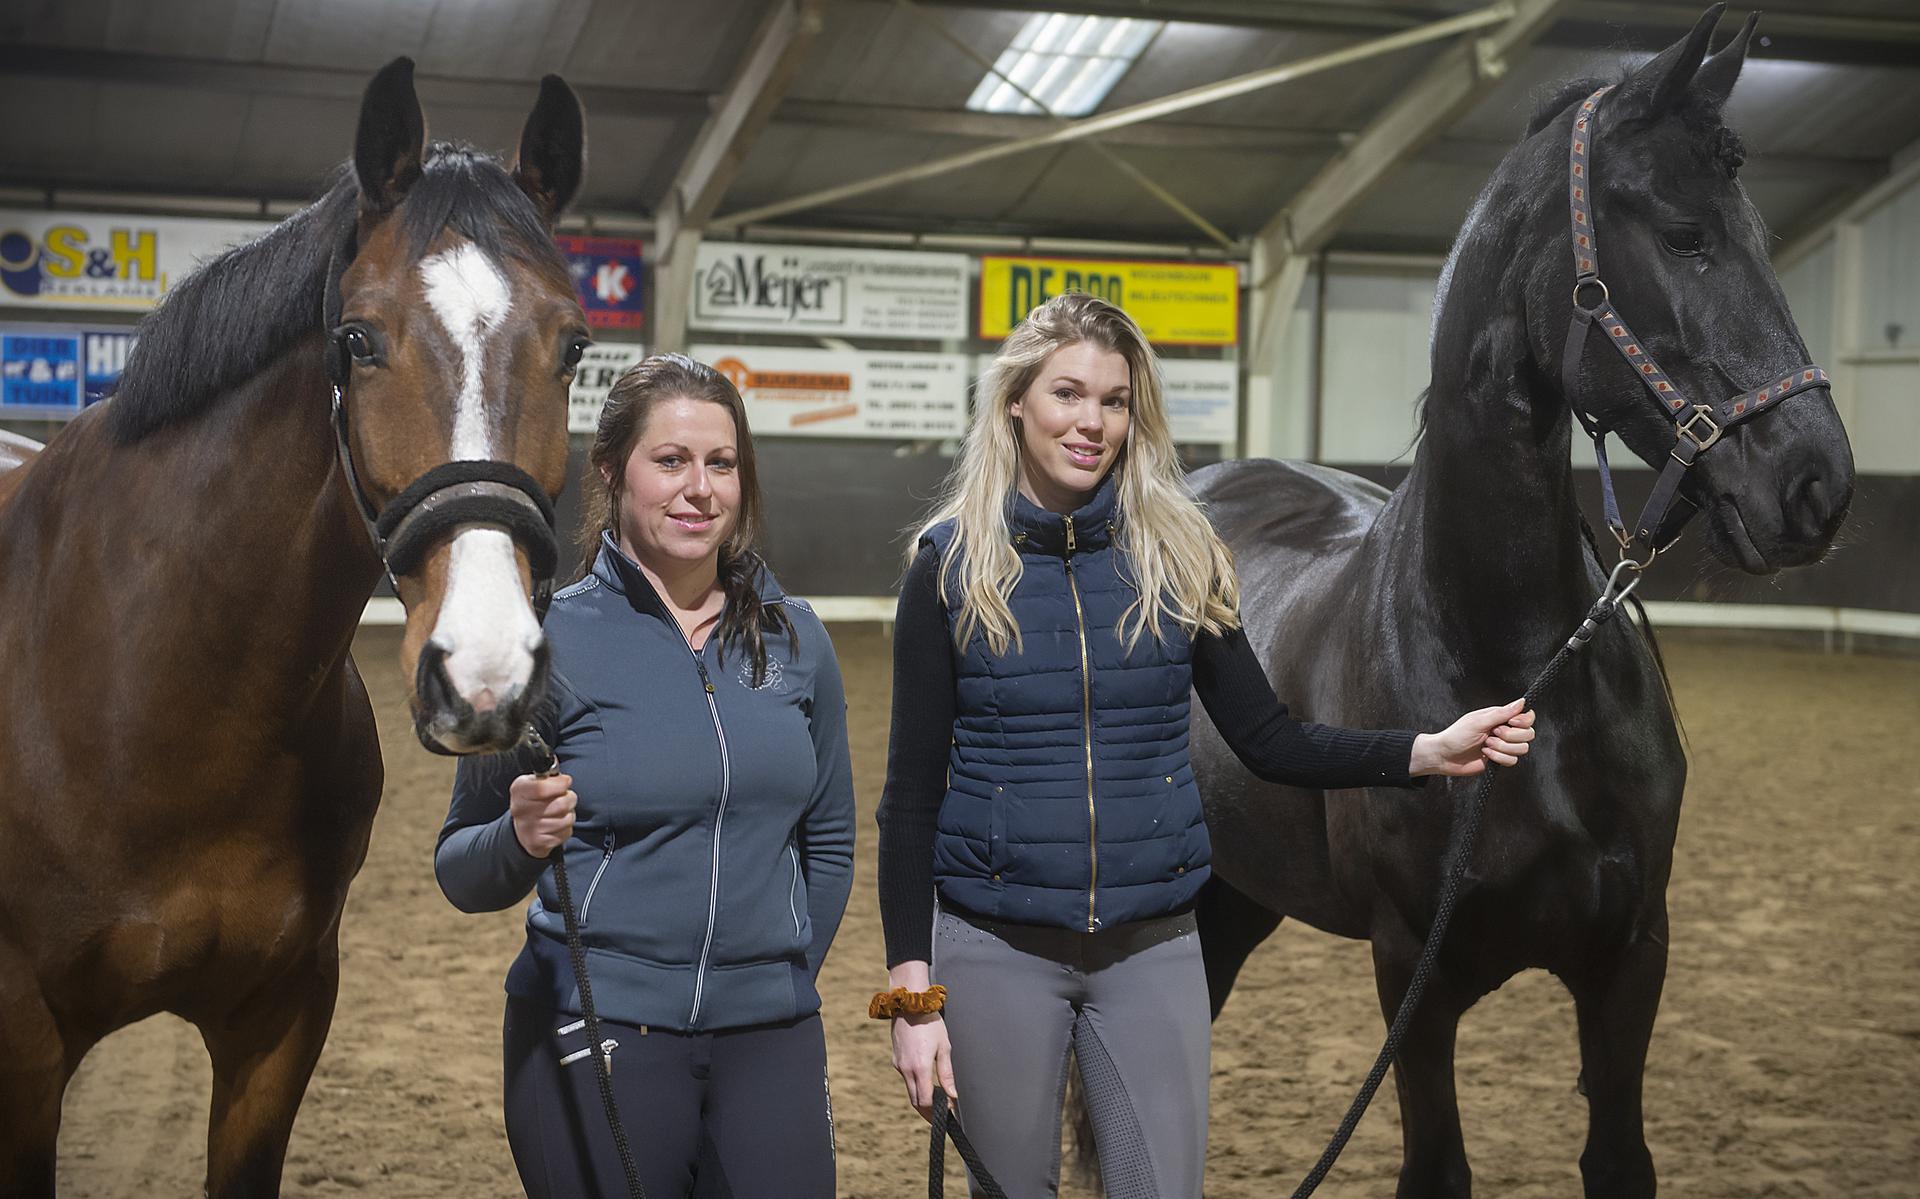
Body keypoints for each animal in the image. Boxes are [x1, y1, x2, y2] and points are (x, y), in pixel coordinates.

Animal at [1190, 11, 1850, 1199]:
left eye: (1764, 240)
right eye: (1685, 235)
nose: (1819, 482)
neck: (1517, 664)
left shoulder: (1633, 957)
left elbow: (1618, 1156)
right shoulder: (1413, 978)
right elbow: (1437, 1167)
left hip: (1240, 894)